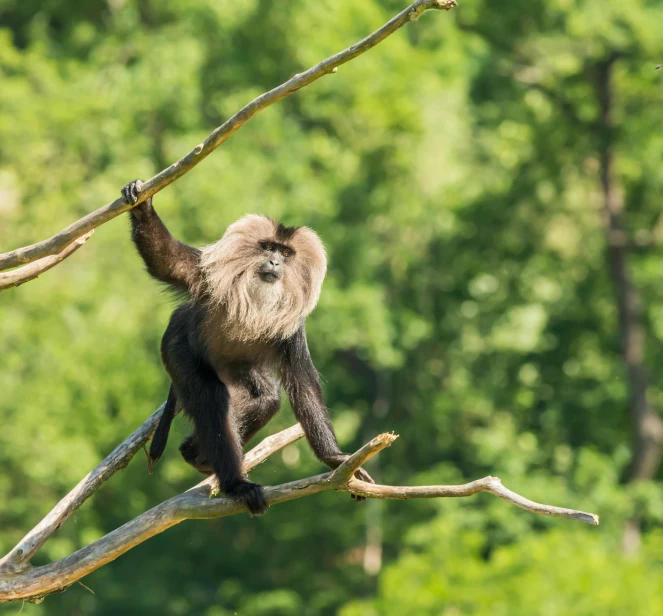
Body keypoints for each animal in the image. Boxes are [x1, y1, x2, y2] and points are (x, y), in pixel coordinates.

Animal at [123, 179, 374, 516]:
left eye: (286, 253)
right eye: (267, 247)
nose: (274, 262)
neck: (258, 297)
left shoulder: (292, 330)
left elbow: (303, 386)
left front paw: (335, 459)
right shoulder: (209, 278)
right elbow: (168, 261)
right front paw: (142, 206)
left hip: (235, 367)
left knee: (266, 397)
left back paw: (196, 455)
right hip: (177, 346)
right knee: (211, 397)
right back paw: (235, 484)